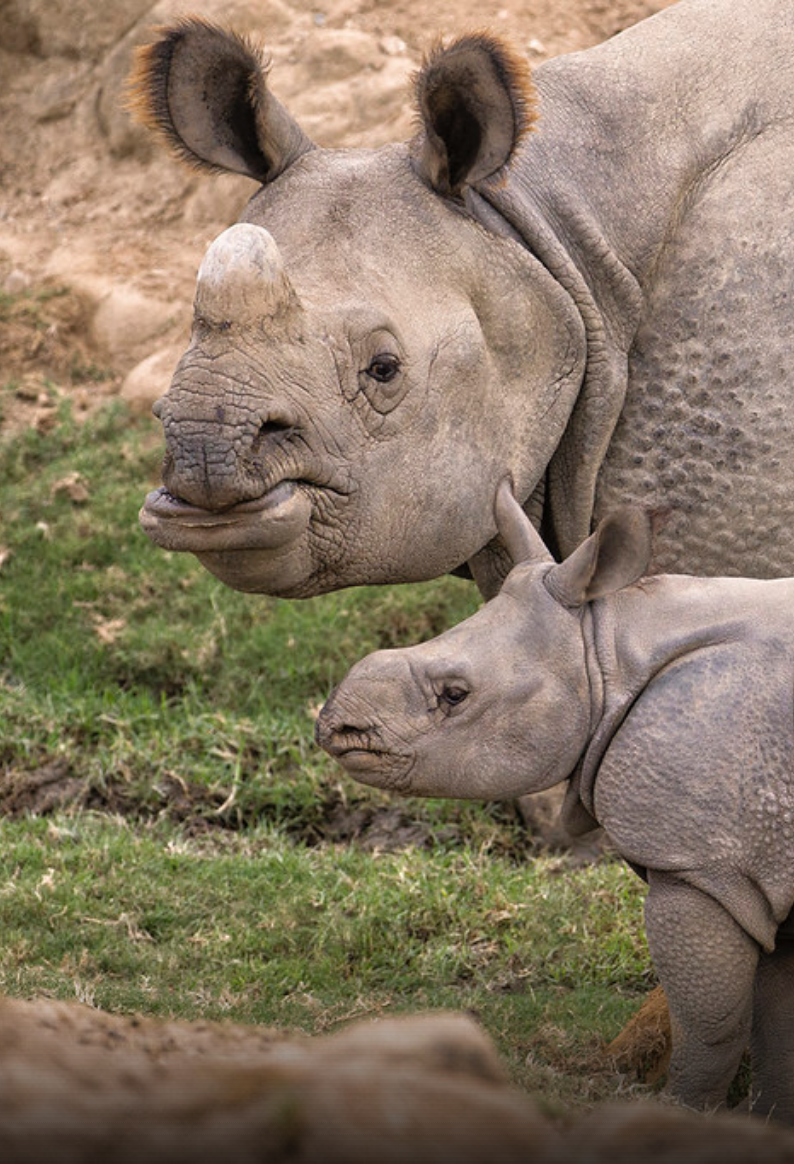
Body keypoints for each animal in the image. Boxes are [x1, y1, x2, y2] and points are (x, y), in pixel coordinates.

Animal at [316, 479, 794, 1120]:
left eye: (455, 694)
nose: (335, 728)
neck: (607, 644)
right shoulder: (756, 866)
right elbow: (777, 1027)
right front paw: (770, 1122)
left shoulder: (704, 864)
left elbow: (712, 1024)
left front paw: (685, 1115)